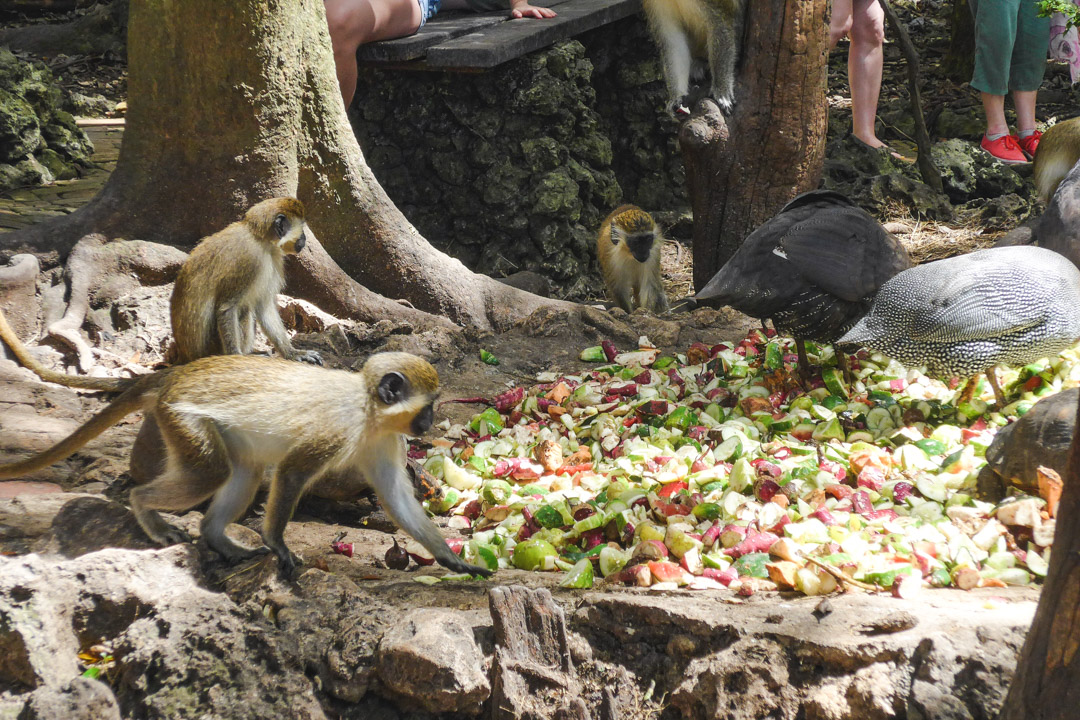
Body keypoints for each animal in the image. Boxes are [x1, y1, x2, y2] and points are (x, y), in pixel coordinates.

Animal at [0, 351, 488, 578]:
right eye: (428, 405)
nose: (427, 422)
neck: (369, 410)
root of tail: (176, 376)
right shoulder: (338, 429)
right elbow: (292, 471)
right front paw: (277, 543)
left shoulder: (384, 441)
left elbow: (395, 498)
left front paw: (451, 558)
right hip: (181, 417)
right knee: (209, 473)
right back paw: (145, 510)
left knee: (244, 473)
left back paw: (217, 538)